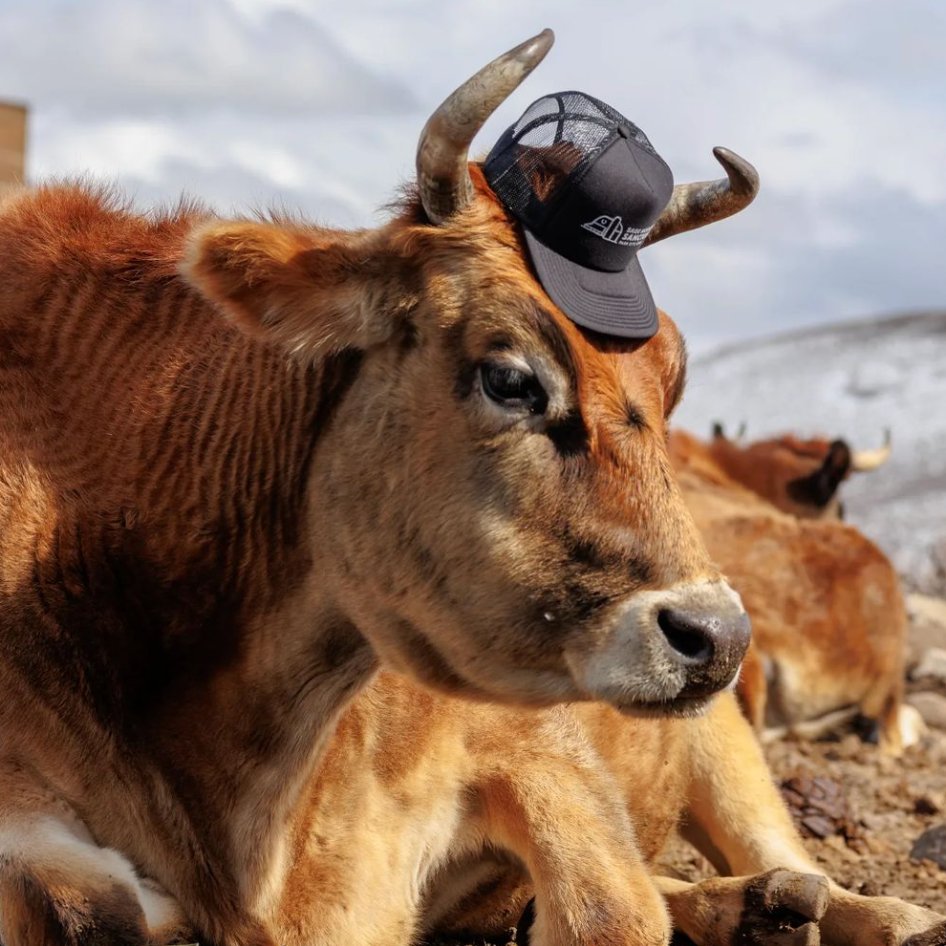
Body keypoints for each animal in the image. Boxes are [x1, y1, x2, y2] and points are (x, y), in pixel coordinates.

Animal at [0, 29, 764, 946]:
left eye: (675, 378)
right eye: (510, 378)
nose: (715, 636)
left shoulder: (535, 746)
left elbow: (615, 913)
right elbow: (81, 899)